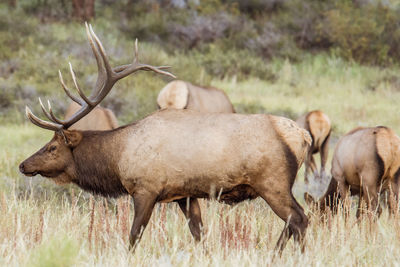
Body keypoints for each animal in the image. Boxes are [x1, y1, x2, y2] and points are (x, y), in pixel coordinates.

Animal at [18, 22, 312, 253]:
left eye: (52, 147)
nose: (23, 165)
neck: (118, 158)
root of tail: (304, 136)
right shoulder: (185, 195)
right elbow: (199, 235)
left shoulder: (145, 189)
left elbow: (133, 236)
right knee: (293, 222)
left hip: (272, 181)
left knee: (299, 219)